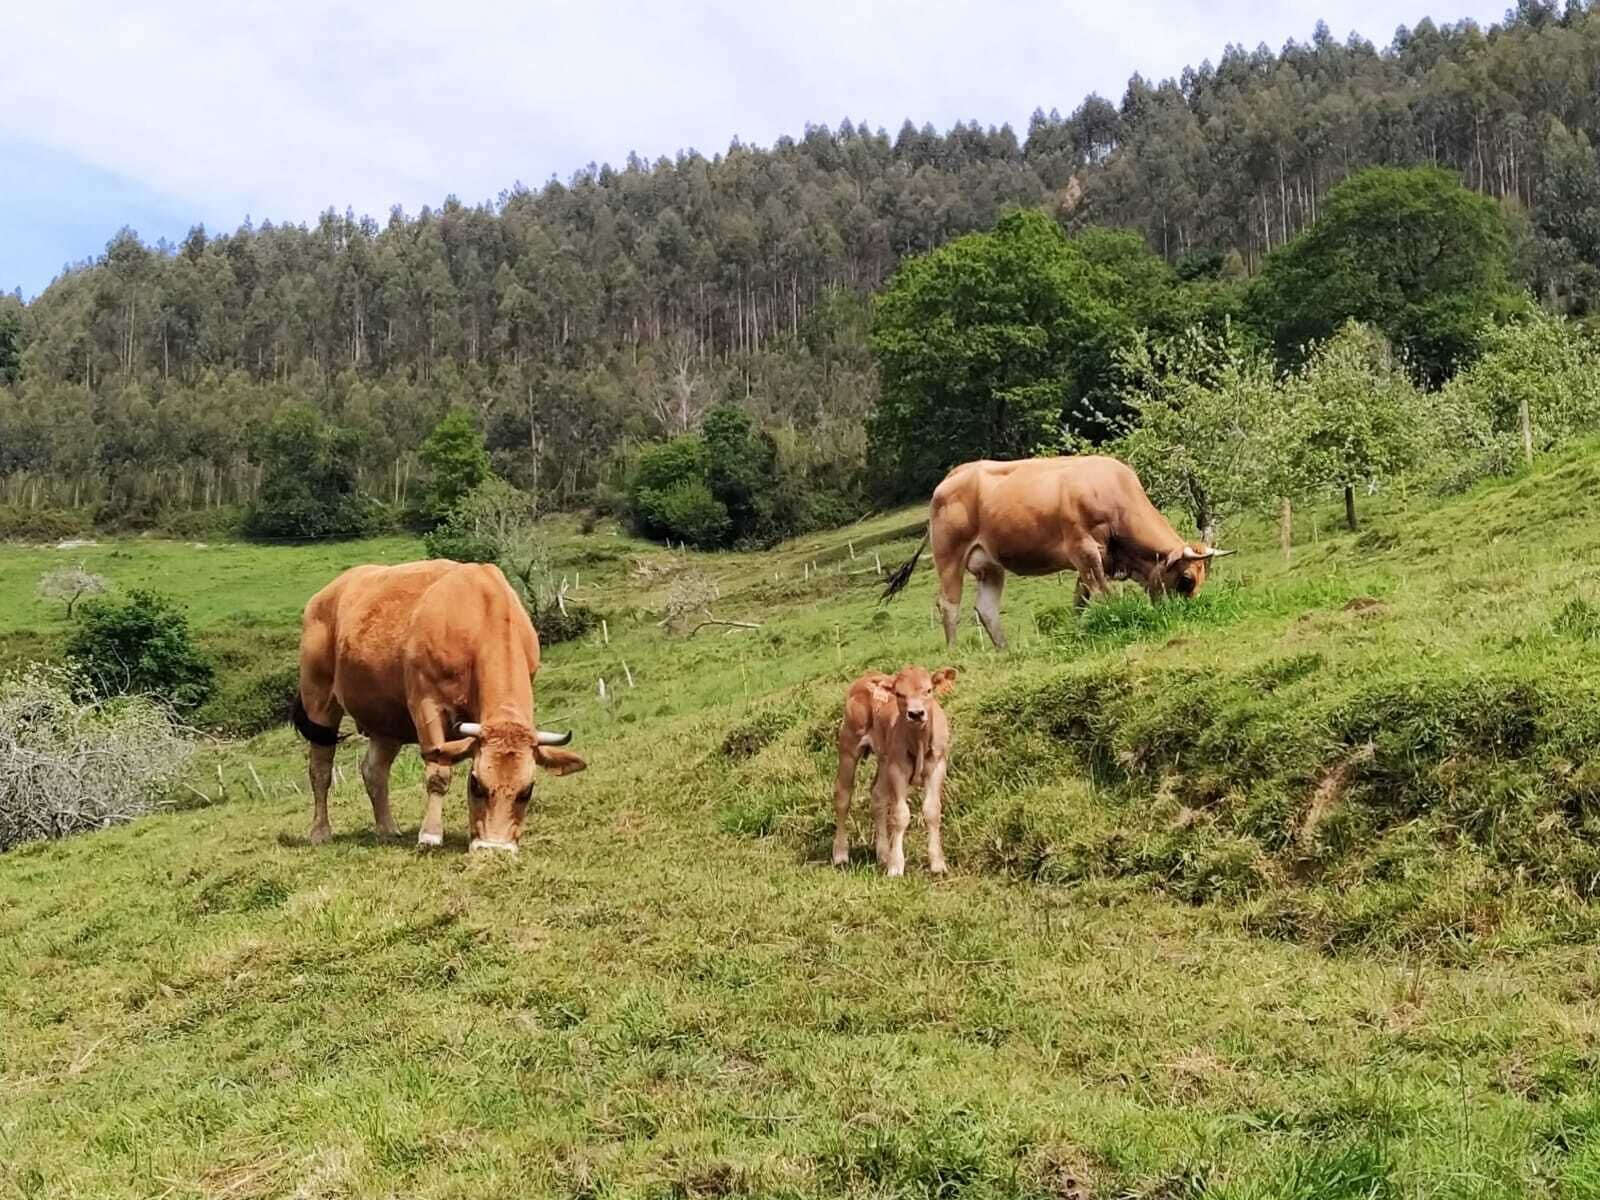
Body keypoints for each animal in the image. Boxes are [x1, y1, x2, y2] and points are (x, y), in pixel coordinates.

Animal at [292, 560, 585, 854]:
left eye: (527, 791)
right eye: (476, 784)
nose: (493, 848)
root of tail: (325, 594)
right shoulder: (426, 705)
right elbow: (438, 772)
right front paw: (430, 834)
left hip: (387, 719)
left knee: (374, 770)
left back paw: (387, 828)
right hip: (319, 701)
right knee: (320, 770)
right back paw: (320, 831)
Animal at [831, 664, 956, 876]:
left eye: (928, 690)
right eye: (899, 694)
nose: (916, 713)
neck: (918, 742)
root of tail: (867, 677)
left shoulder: (937, 765)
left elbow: (932, 810)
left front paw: (938, 864)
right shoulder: (897, 769)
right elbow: (900, 815)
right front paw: (896, 866)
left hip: (883, 761)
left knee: (877, 796)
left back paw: (883, 854)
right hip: (849, 747)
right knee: (843, 796)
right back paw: (840, 853)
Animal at [881, 455, 1234, 649]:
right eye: (1186, 580)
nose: (1184, 615)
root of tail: (953, 475)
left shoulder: (1095, 560)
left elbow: (1081, 599)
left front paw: (1079, 629)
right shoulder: (1084, 549)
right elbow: (1104, 596)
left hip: (990, 565)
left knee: (986, 608)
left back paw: (1006, 650)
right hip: (949, 556)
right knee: (948, 604)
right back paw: (955, 652)